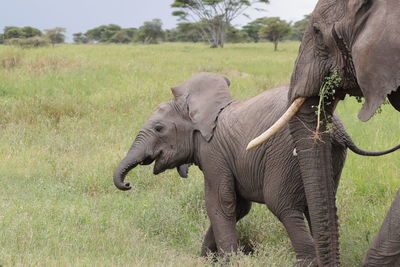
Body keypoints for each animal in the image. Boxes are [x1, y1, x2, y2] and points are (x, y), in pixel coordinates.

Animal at [113, 73, 400, 266]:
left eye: (159, 128)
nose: (127, 184)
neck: (197, 110)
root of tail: (338, 127)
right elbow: (238, 207)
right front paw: (205, 259)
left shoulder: (213, 153)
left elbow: (221, 203)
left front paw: (226, 261)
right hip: (331, 155)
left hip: (283, 155)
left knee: (283, 205)